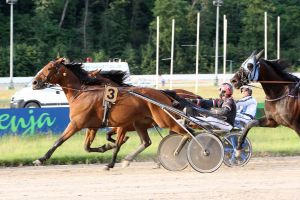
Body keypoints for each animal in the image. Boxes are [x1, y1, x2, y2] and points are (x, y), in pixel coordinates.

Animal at [31, 58, 185, 169]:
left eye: (49, 68)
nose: (34, 82)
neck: (81, 94)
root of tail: (163, 94)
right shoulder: (92, 126)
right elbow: (87, 147)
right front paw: (107, 147)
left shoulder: (77, 124)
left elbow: (58, 141)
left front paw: (40, 159)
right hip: (142, 123)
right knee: (147, 141)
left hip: (165, 120)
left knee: (185, 132)